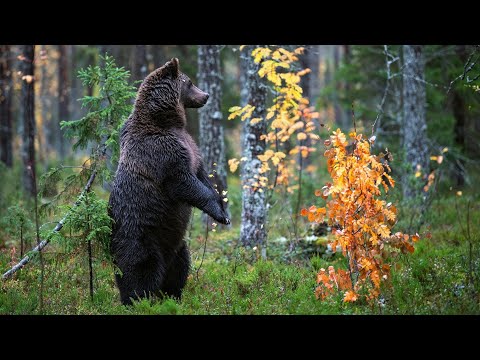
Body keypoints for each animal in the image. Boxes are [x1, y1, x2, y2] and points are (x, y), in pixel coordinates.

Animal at [108, 57, 230, 306]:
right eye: (189, 82)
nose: (206, 95)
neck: (167, 121)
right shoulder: (162, 153)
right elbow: (184, 182)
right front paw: (220, 214)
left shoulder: (192, 148)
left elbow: (201, 176)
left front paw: (223, 208)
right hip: (140, 237)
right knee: (140, 270)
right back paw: (137, 300)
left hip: (177, 245)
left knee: (180, 268)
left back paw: (173, 296)